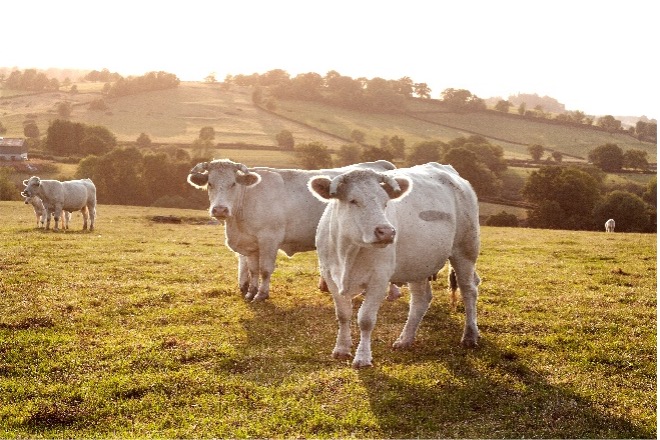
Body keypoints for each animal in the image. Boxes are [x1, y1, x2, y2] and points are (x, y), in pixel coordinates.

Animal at [184, 160, 398, 300]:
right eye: (210, 183)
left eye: (233, 183)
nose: (220, 209)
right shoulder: (250, 244)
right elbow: (252, 269)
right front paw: (250, 291)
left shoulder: (269, 239)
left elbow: (265, 269)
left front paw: (262, 294)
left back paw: (392, 293)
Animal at [310, 162, 480, 368]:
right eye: (353, 201)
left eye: (385, 202)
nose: (387, 232)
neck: (347, 253)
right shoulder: (329, 274)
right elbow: (343, 314)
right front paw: (341, 349)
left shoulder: (379, 278)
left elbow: (366, 319)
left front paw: (363, 357)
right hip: (418, 263)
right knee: (421, 299)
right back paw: (405, 339)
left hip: (465, 250)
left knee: (468, 290)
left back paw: (470, 335)